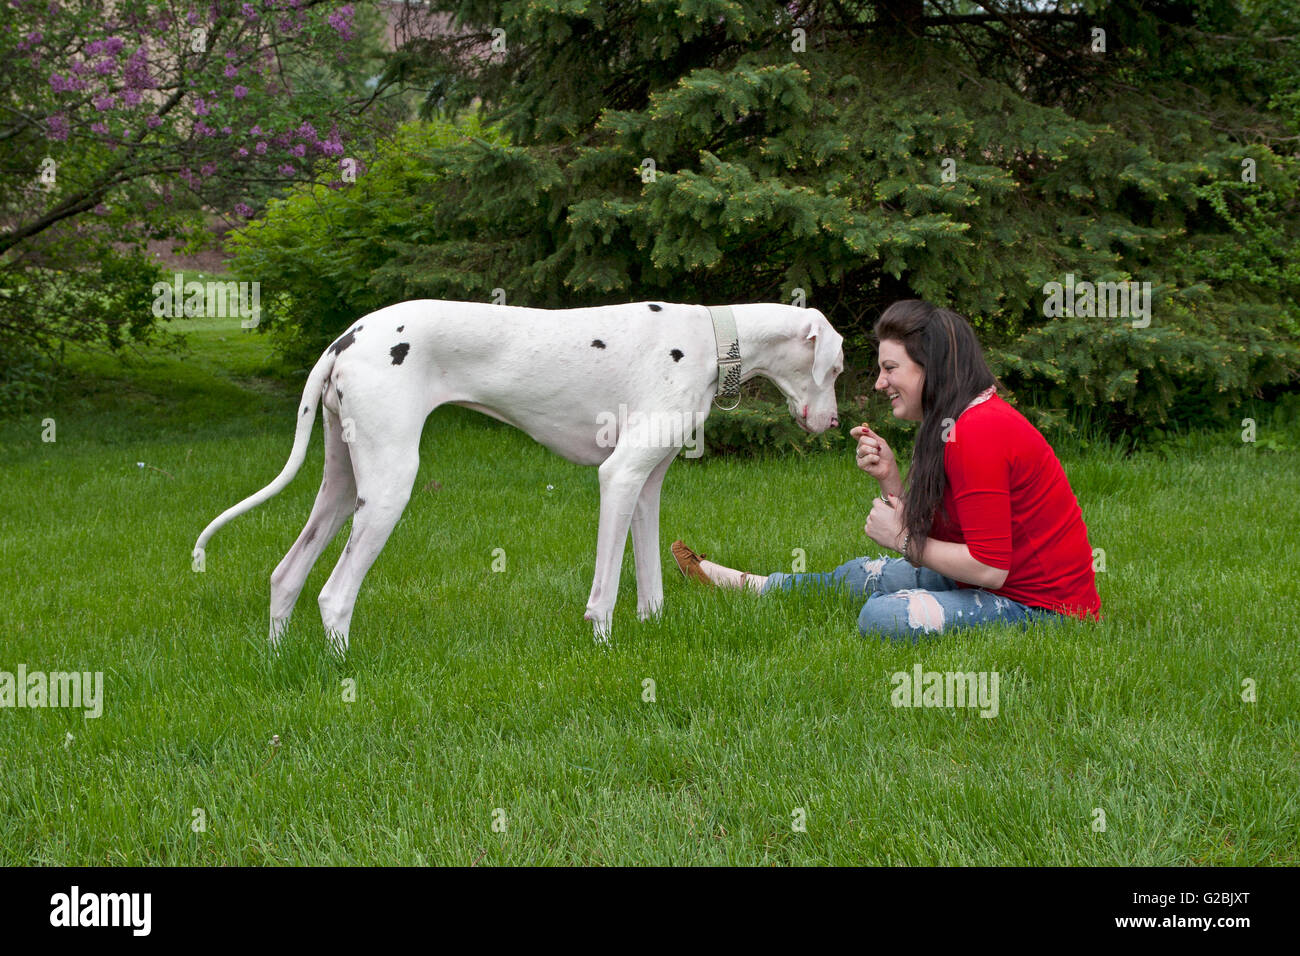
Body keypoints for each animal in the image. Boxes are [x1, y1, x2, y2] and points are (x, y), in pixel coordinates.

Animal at [192, 303, 842, 655]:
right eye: (835, 368)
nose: (835, 423)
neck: (709, 338)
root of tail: (345, 339)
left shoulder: (646, 488)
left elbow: (651, 582)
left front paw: (652, 630)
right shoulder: (617, 478)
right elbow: (605, 591)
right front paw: (603, 647)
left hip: (342, 488)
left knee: (286, 576)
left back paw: (280, 657)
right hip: (388, 489)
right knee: (334, 593)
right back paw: (343, 672)